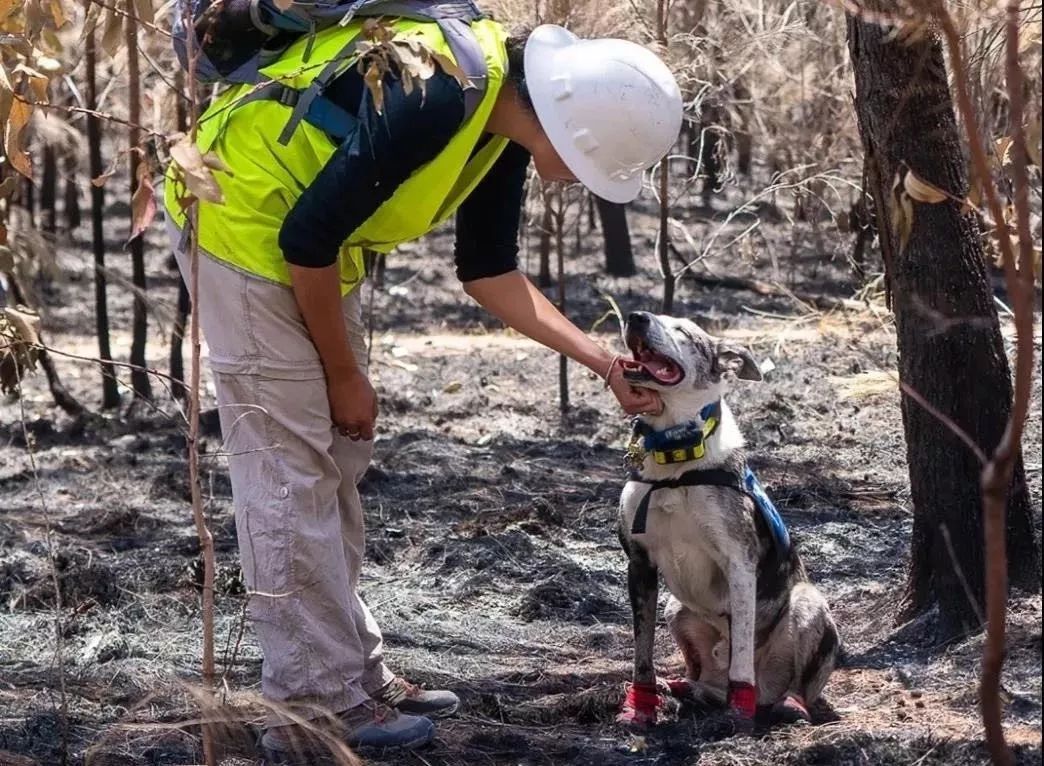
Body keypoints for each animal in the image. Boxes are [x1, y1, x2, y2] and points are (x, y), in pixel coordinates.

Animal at [613, 310, 835, 730]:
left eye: (683, 331)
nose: (636, 317)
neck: (677, 459)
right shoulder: (639, 562)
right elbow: (642, 651)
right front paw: (641, 706)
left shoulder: (739, 562)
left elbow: (742, 651)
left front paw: (738, 711)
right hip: (676, 608)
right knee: (705, 675)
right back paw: (688, 689)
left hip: (806, 602)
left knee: (795, 686)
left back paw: (785, 704)